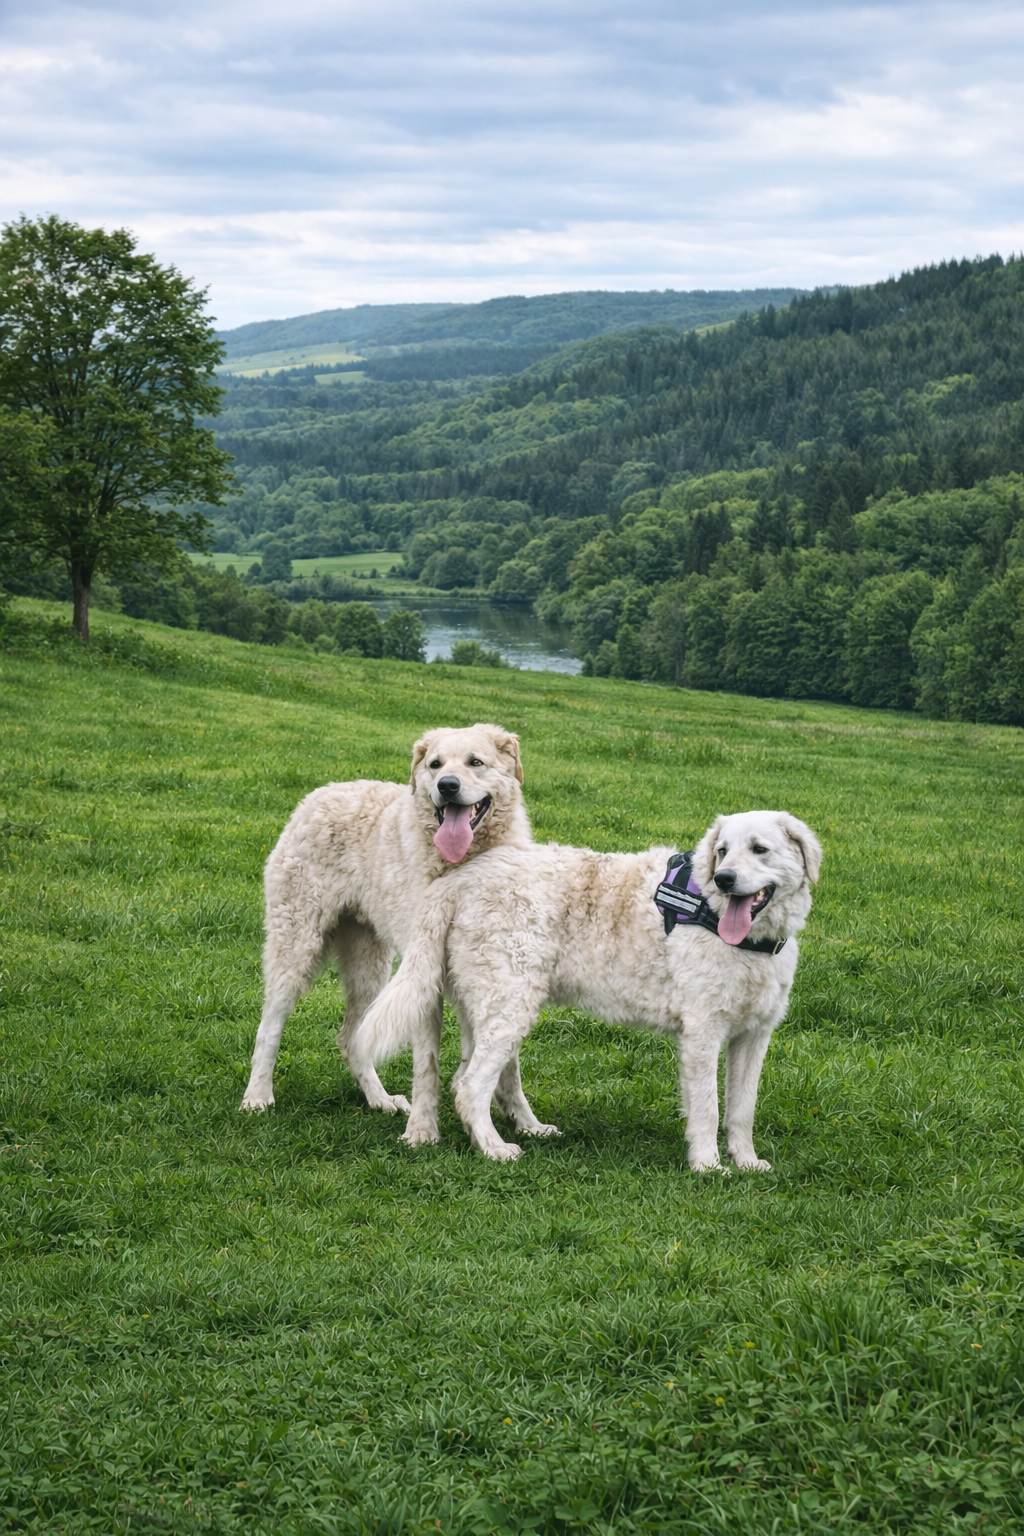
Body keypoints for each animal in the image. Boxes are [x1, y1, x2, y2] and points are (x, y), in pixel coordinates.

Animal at [240, 724, 541, 1119]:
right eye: (435, 764)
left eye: (475, 762)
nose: (447, 785)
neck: (462, 864)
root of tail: (318, 793)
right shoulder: (429, 968)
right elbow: (429, 1058)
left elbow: (507, 1057)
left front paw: (525, 1121)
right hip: (296, 946)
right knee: (269, 1027)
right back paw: (257, 1095)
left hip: (369, 963)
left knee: (350, 1038)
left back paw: (379, 1099)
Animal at [347, 811, 821, 1168]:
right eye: (722, 851)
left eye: (759, 849)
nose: (723, 877)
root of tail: (461, 877)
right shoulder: (702, 1033)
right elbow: (708, 1107)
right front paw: (708, 1166)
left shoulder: (753, 1036)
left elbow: (742, 1109)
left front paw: (746, 1162)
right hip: (510, 1004)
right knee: (468, 1087)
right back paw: (496, 1149)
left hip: (486, 1005)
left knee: (468, 1078)